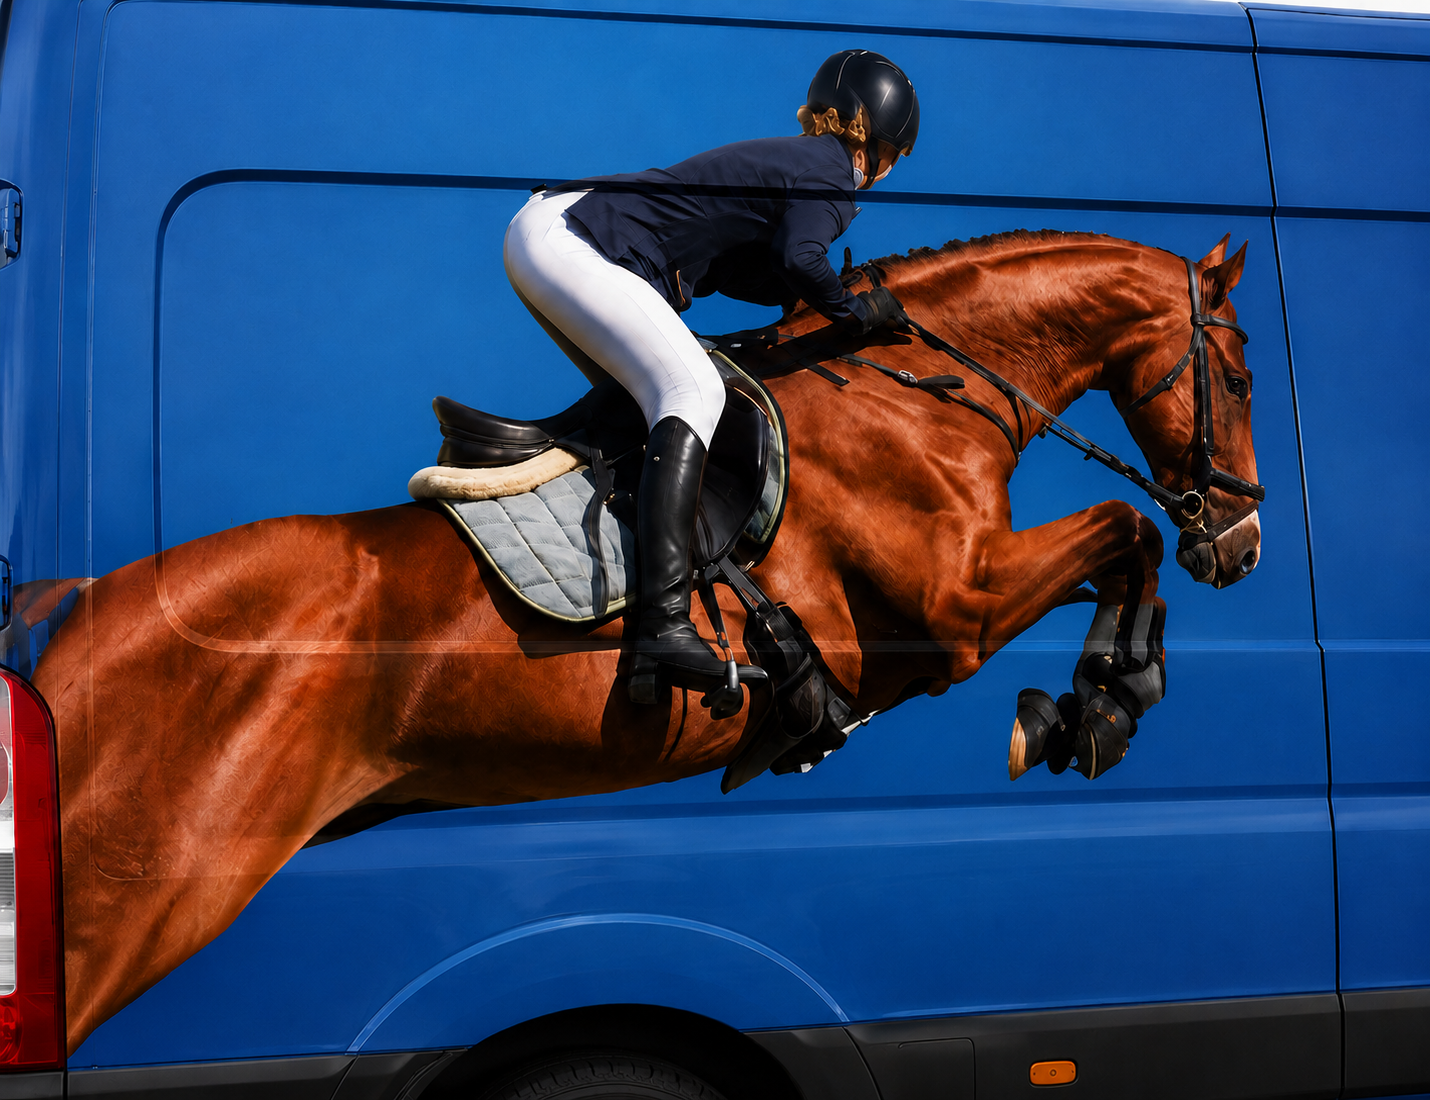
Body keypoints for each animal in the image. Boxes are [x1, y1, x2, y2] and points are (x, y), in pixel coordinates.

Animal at [32, 230, 1260, 1053]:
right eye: (1243, 374)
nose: (1241, 543)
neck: (920, 389)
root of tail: (81, 612)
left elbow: (1127, 544)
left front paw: (1095, 701)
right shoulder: (953, 608)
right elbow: (1125, 527)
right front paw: (1099, 700)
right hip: (133, 892)